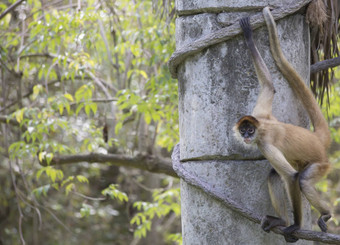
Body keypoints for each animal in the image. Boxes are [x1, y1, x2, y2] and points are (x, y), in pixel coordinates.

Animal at [235, 7, 330, 243]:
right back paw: (281, 220)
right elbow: (269, 85)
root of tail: (316, 139)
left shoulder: (264, 142)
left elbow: (291, 177)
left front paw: (295, 225)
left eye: (250, 130)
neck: (261, 127)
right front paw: (249, 38)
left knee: (302, 179)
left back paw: (320, 215)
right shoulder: (259, 114)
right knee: (274, 174)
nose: (246, 136)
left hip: (321, 165)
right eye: (243, 129)